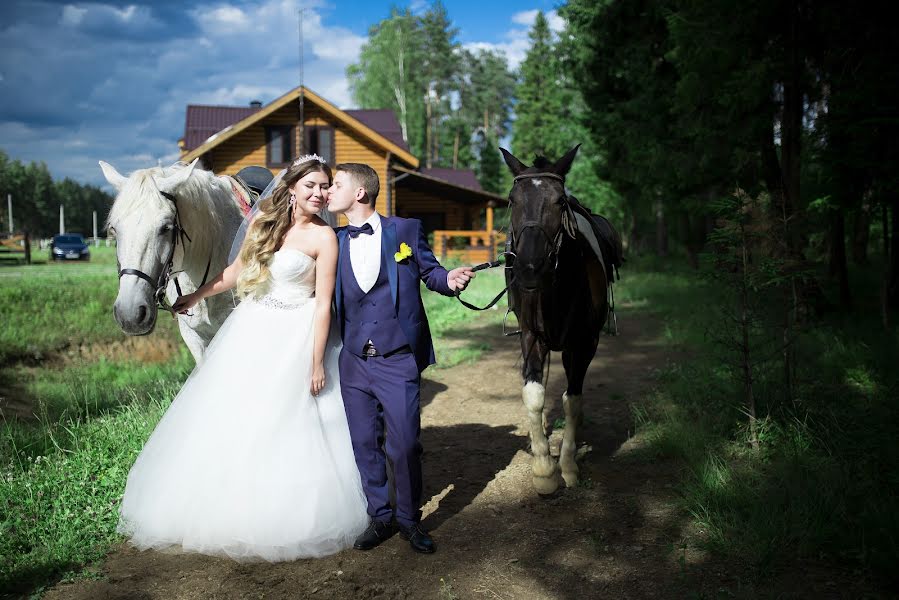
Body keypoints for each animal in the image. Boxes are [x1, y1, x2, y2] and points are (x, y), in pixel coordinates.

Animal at [500, 144, 620, 492]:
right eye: (512, 200)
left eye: (559, 201)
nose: (529, 268)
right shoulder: (531, 336)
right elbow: (534, 394)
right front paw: (544, 471)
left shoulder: (583, 343)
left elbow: (572, 400)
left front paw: (567, 465)